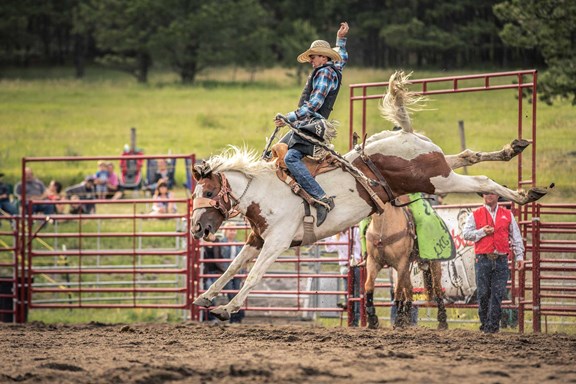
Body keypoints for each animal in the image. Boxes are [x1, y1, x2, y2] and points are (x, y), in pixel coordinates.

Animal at [191, 70, 548, 320]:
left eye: (208, 190)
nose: (197, 229)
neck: (266, 193)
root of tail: (406, 134)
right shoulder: (257, 240)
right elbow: (231, 269)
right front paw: (204, 298)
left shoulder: (277, 243)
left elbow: (252, 275)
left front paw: (227, 308)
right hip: (438, 170)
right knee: (467, 155)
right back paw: (513, 150)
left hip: (437, 180)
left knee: (483, 180)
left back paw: (526, 194)